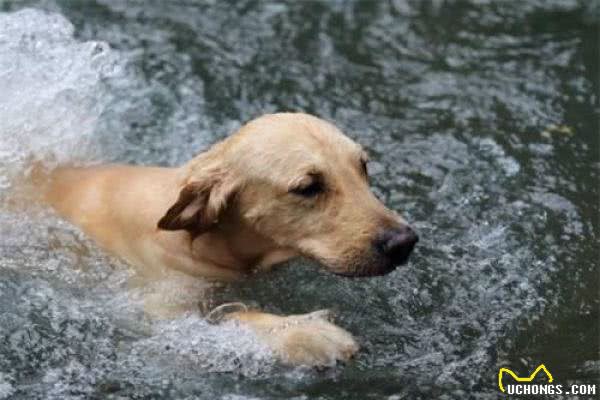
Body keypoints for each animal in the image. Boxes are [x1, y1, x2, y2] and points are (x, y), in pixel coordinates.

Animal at [43, 111, 418, 366]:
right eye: (308, 186)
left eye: (362, 166)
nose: (404, 241)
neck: (198, 239)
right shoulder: (154, 304)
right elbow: (224, 316)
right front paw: (310, 334)